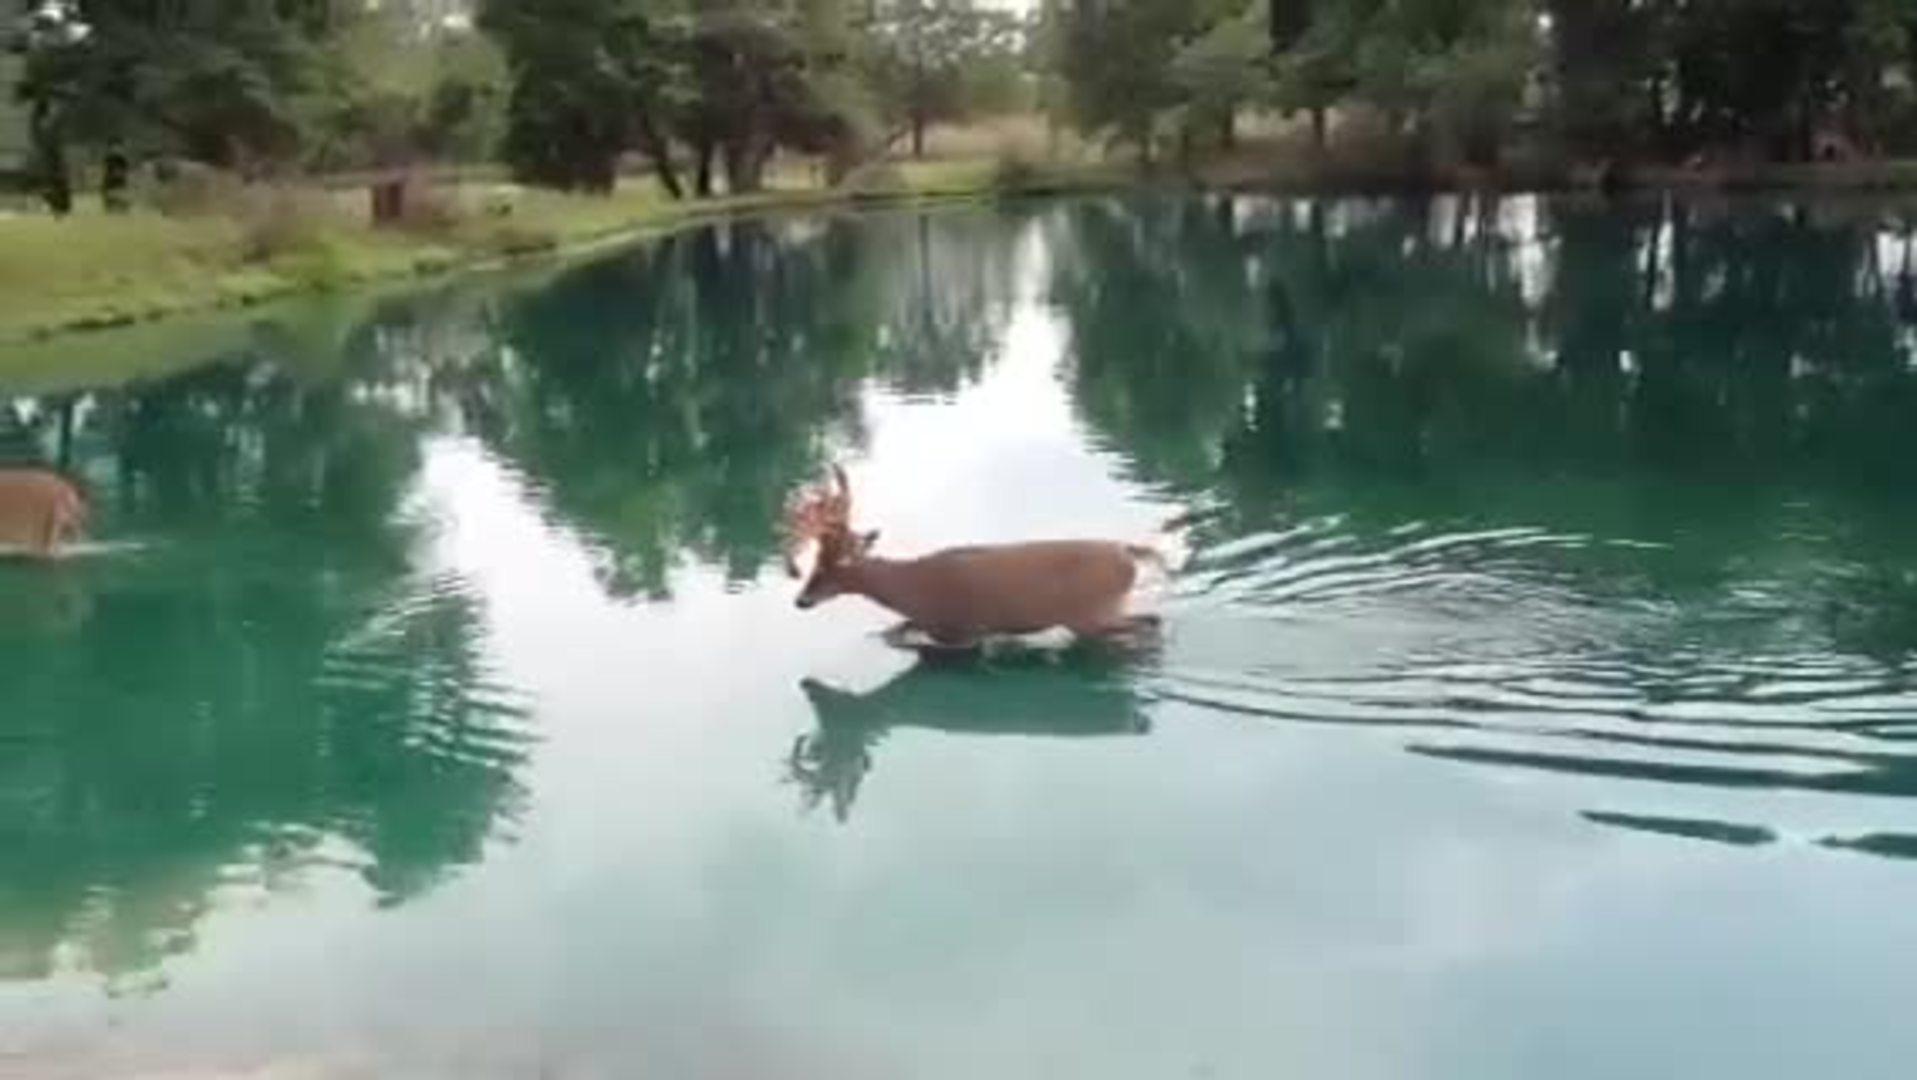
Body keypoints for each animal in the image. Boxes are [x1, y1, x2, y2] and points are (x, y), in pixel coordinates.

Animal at [783, 465, 1175, 648]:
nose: (801, 600)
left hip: (1091, 613)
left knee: (1150, 624)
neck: (911, 588)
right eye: (815, 564)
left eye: (829, 567)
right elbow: (897, 631)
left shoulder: (963, 629)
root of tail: (1128, 553)